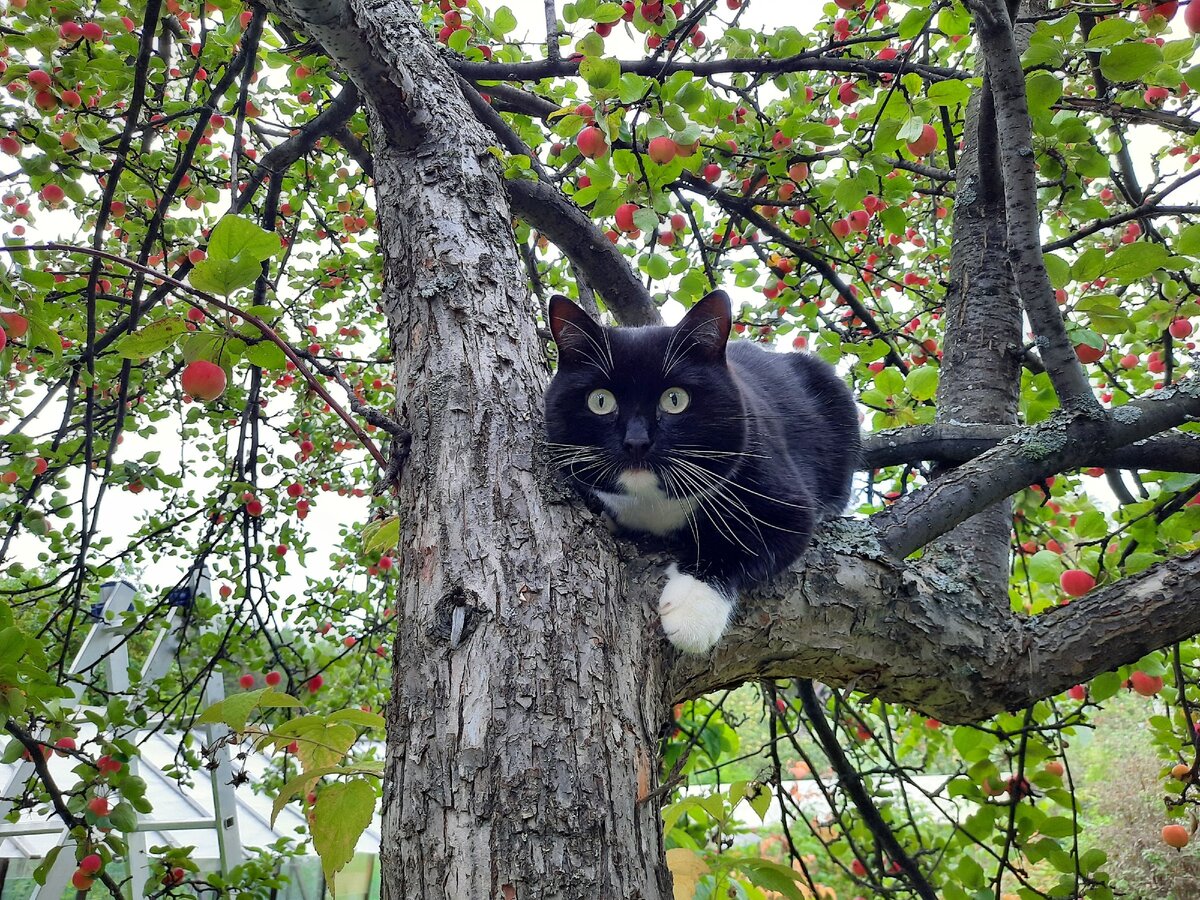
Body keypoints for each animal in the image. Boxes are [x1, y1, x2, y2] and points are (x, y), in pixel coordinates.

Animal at [544, 289, 864, 657]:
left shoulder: (781, 491)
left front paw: (692, 609)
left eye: (675, 399)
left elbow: (744, 541)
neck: (653, 502)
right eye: (600, 401)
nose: (636, 442)